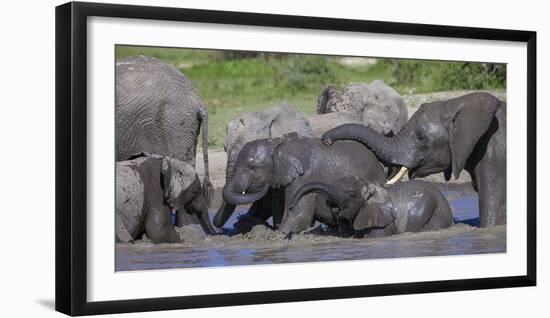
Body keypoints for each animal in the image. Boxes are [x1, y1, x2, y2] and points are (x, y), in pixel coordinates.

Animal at [216, 133, 384, 235]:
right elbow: (271, 208)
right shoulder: (280, 178)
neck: (277, 144)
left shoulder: (304, 177)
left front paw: (277, 235)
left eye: (252, 167)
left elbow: (298, 214)